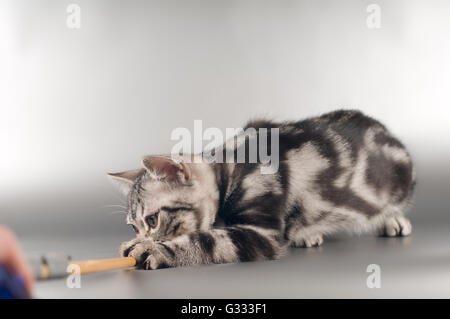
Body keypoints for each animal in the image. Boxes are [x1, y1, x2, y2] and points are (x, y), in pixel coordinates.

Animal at [108, 110, 414, 270]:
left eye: (152, 220)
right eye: (133, 226)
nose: (140, 236)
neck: (230, 166)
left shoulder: (261, 233)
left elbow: (204, 241)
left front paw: (151, 249)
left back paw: (393, 219)